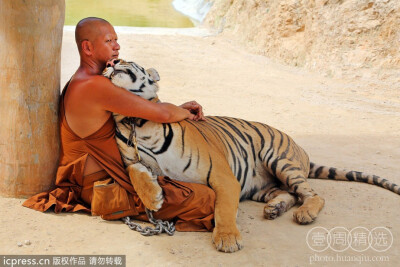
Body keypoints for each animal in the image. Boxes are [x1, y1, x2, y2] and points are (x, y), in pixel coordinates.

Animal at [103, 59, 400, 253]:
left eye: (128, 60)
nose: (114, 60)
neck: (135, 120)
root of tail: (300, 148)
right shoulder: (133, 160)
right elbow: (135, 171)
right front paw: (153, 197)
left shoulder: (222, 175)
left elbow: (223, 208)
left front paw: (227, 239)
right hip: (262, 187)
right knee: (290, 194)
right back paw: (274, 209)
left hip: (279, 160)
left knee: (312, 195)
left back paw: (305, 213)